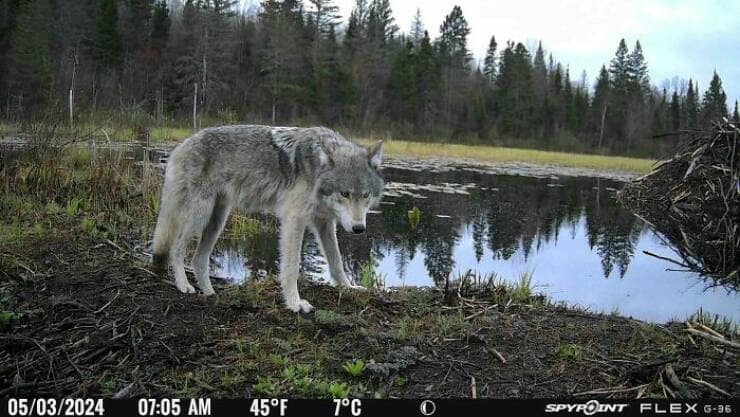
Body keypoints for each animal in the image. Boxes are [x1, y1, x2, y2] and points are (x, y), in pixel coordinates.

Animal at [151, 125, 384, 313]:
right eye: (345, 194)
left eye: (365, 195)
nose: (359, 229)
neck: (315, 170)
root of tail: (180, 146)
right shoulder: (294, 219)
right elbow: (291, 268)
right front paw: (295, 303)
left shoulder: (324, 223)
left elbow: (336, 261)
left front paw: (348, 287)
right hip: (200, 216)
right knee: (176, 249)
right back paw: (183, 285)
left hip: (217, 221)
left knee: (198, 259)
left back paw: (210, 293)